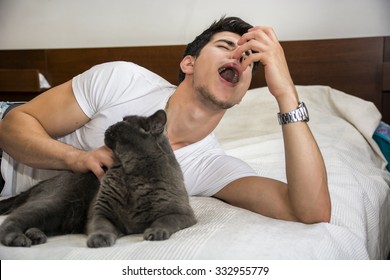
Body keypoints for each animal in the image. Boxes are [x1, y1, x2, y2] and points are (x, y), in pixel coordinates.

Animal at [0, 109, 197, 247]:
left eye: (124, 122)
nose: (111, 124)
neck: (130, 172)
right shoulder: (101, 210)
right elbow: (101, 226)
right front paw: (99, 239)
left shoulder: (183, 213)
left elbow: (166, 219)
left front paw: (155, 232)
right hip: (54, 204)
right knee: (11, 220)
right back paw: (18, 238)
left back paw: (35, 235)